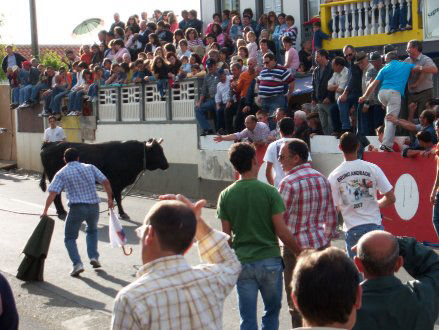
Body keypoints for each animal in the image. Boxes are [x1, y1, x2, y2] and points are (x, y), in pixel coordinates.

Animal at [38, 139, 169, 219]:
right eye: (157, 151)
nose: (167, 165)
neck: (129, 154)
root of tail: (50, 143)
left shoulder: (113, 183)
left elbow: (113, 197)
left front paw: (111, 211)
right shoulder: (116, 183)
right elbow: (118, 198)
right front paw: (122, 213)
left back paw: (61, 211)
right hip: (54, 177)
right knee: (56, 195)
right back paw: (61, 212)